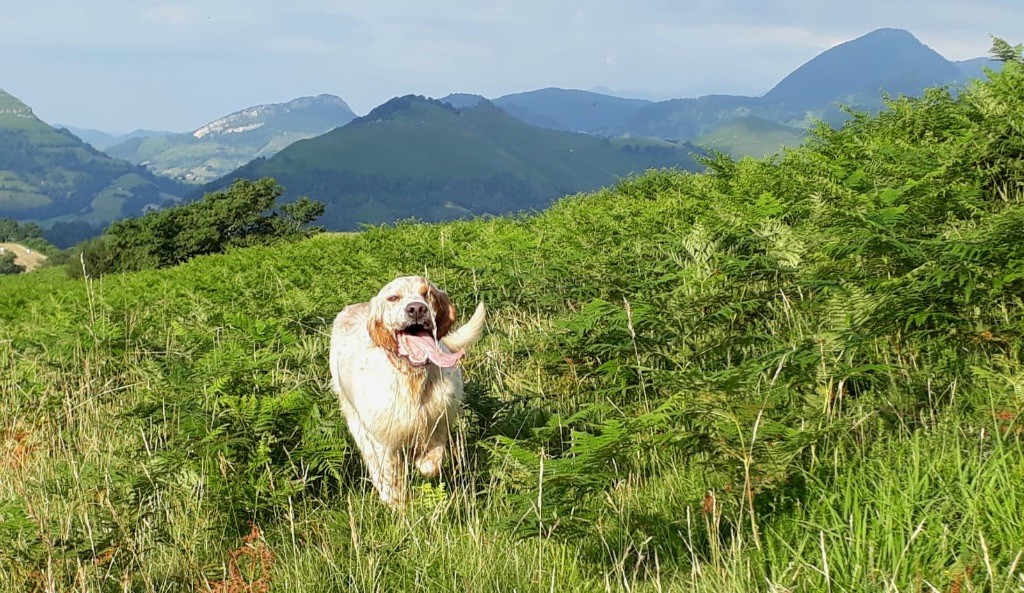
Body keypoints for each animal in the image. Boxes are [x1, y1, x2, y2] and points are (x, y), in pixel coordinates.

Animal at [329, 276, 485, 507]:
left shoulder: (438, 422)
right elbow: (392, 480)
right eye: (393, 297)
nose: (417, 309)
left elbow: (430, 464)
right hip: (355, 421)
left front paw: (421, 462)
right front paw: (397, 504)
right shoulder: (382, 439)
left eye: (427, 293)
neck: (413, 377)